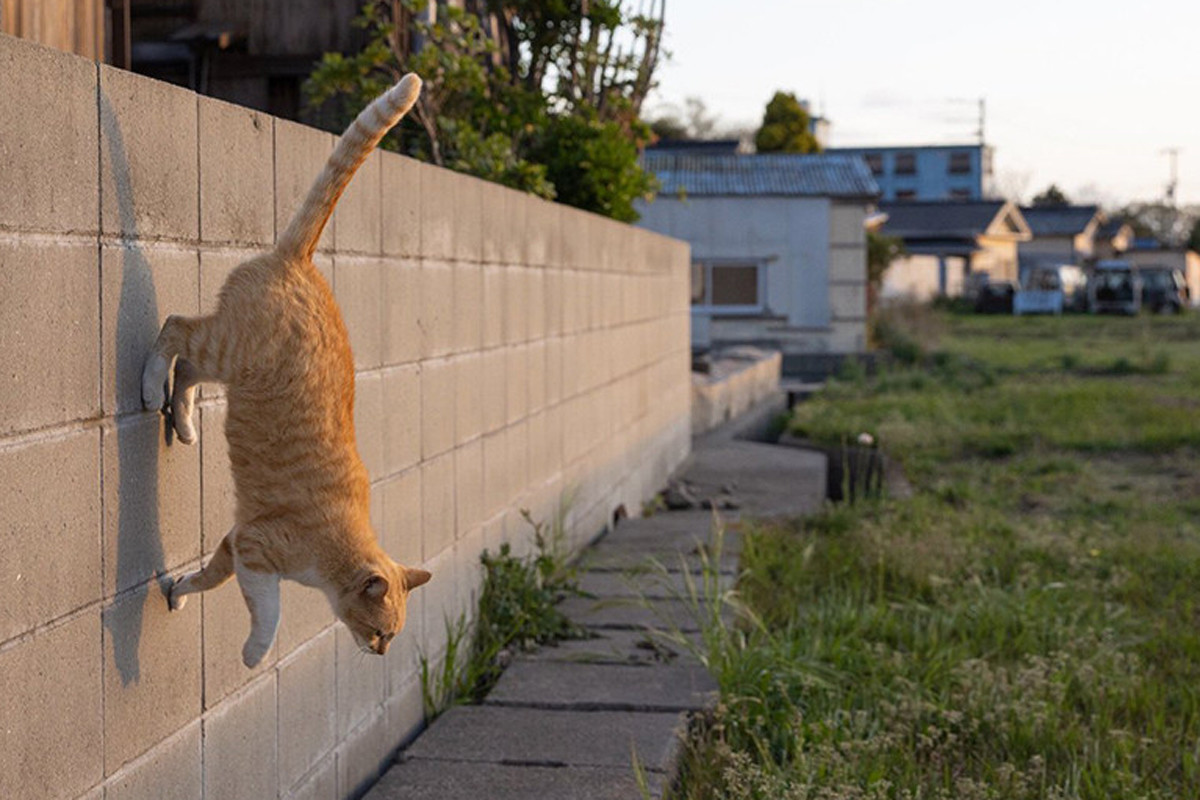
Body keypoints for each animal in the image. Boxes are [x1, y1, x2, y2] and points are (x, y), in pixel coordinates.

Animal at [146, 74, 432, 666]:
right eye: (381, 631)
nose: (381, 655)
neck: (333, 554)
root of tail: (300, 261)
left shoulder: (234, 541)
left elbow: (208, 578)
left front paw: (179, 592)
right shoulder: (256, 549)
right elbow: (269, 613)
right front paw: (254, 654)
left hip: (229, 367)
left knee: (187, 370)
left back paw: (183, 425)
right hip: (227, 347)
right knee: (176, 331)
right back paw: (145, 387)